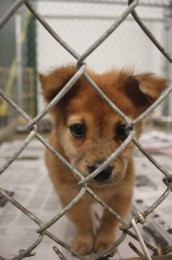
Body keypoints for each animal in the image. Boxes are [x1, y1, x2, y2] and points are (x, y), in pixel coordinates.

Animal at [40, 65, 167, 256]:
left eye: (123, 130)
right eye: (78, 129)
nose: (101, 170)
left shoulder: (121, 194)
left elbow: (109, 221)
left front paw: (105, 244)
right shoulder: (70, 196)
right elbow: (83, 222)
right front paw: (83, 242)